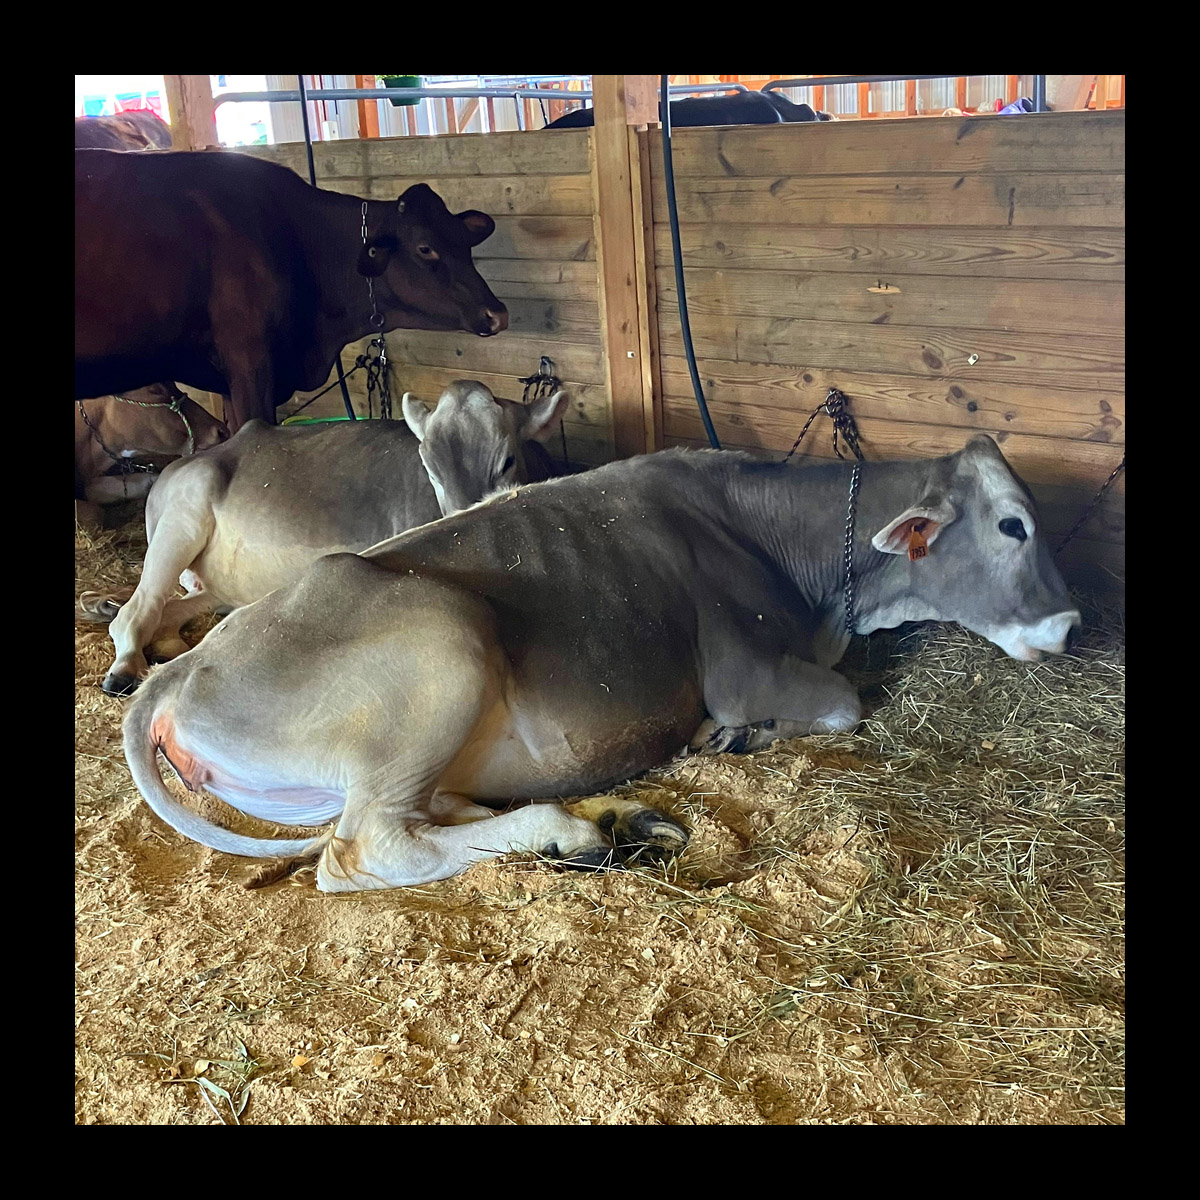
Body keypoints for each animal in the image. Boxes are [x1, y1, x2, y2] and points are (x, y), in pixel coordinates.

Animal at [94, 381, 569, 695]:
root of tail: (179, 465)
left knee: (171, 610)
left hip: (220, 583)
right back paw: (124, 667)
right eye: (430, 468)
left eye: (506, 462)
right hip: (182, 519)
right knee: (136, 610)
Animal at [122, 435, 1081, 894]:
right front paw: (734, 734)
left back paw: (609, 817)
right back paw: (575, 832)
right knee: (367, 848)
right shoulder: (746, 666)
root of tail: (184, 667)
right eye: (1013, 525)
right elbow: (845, 702)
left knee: (434, 812)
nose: (1072, 622)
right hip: (441, 644)